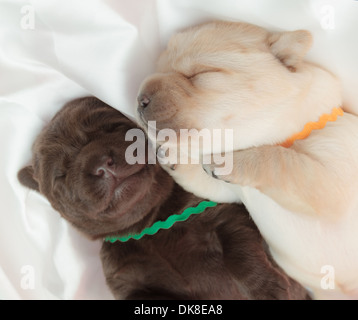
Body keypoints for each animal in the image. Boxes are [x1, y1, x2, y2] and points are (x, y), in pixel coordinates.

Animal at [17, 96, 308, 298]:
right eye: (60, 174)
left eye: (113, 127)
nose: (102, 165)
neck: (154, 223)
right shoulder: (128, 282)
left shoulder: (224, 215)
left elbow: (241, 254)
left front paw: (267, 288)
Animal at [137, 21, 358, 298]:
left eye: (200, 74)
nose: (139, 99)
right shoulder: (231, 192)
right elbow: (204, 179)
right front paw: (173, 154)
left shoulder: (330, 179)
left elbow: (280, 161)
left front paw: (230, 161)